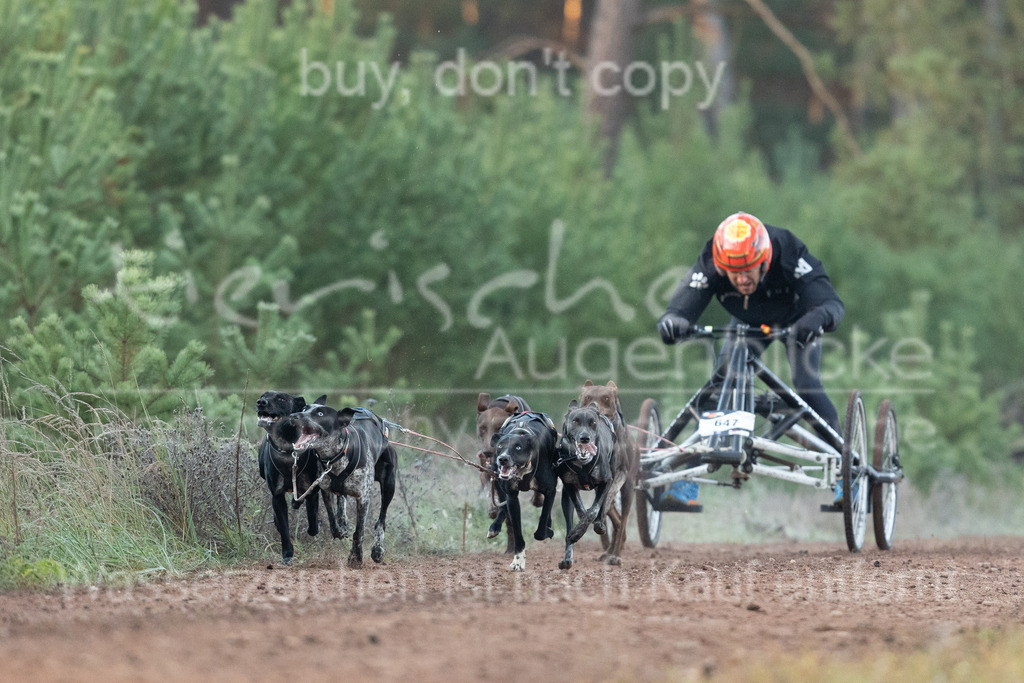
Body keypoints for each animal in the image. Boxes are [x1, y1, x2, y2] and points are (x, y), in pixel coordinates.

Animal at [253, 393, 325, 565]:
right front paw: (287, 553)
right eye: (263, 396)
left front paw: (316, 525)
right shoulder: (277, 496)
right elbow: (284, 527)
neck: (287, 450)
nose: (260, 402)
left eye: (281, 399)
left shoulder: (312, 492)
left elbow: (313, 523)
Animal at [272, 403, 395, 569]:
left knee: (381, 521)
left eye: (320, 413)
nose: (294, 415)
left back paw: (377, 550)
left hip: (389, 486)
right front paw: (340, 530)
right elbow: (332, 520)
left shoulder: (363, 498)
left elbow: (359, 531)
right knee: (341, 503)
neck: (337, 456)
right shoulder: (325, 490)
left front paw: (356, 557)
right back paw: (343, 522)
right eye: (305, 409)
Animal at [489, 411, 561, 573]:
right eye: (500, 446)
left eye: (518, 447)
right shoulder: (512, 497)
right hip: (495, 476)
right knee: (502, 505)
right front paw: (518, 560)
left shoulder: (550, 491)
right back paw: (494, 527)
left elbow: (541, 526)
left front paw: (547, 531)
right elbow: (517, 531)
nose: (503, 459)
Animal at [557, 401, 618, 573]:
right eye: (575, 421)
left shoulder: (606, 481)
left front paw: (590, 523)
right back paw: (568, 557)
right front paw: (577, 531)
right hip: (566, 499)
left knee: (602, 504)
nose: (585, 438)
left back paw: (599, 524)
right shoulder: (569, 487)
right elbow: (581, 510)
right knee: (569, 524)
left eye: (593, 423)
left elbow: (594, 510)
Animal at [581, 378, 634, 565]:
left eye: (606, 398)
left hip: (629, 490)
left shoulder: (621, 472)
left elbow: (610, 496)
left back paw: (615, 555)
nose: (593, 408)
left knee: (623, 519)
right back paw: (609, 549)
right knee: (617, 522)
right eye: (587, 398)